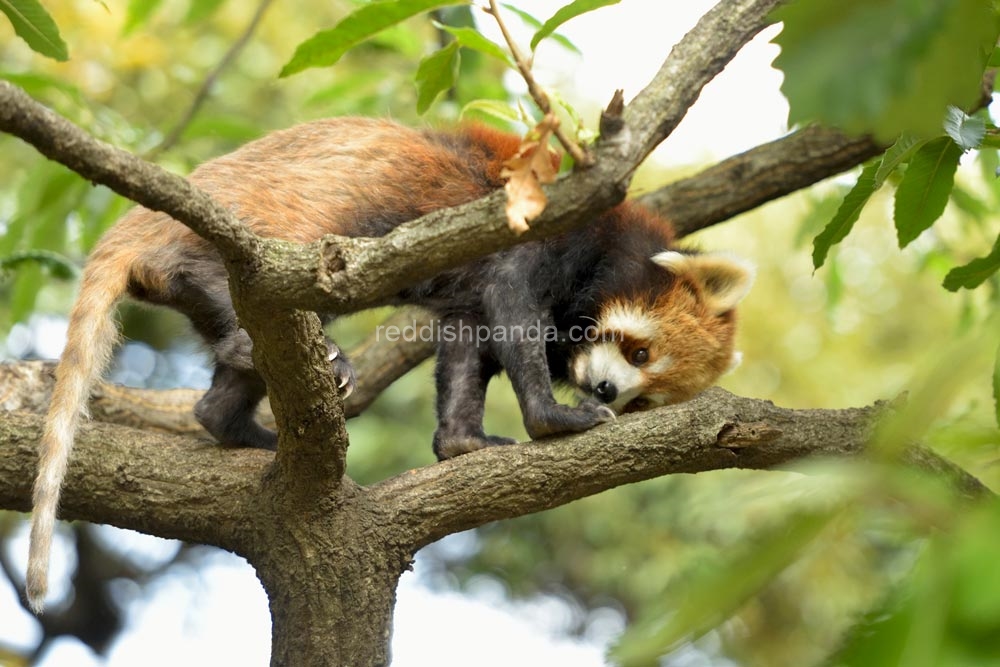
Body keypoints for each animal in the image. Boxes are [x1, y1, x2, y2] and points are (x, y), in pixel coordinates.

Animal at [25, 117, 752, 612]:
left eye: (642, 395)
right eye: (638, 351)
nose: (604, 387)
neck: (611, 240)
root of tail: (141, 221)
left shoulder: (468, 296)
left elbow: (466, 347)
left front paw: (462, 440)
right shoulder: (536, 225)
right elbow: (512, 308)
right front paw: (553, 417)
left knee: (227, 376)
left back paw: (239, 423)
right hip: (258, 238)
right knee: (240, 284)